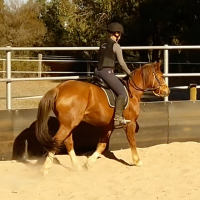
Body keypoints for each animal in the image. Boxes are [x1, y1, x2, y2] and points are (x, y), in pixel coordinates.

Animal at [35, 61, 170, 175]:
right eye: (161, 76)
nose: (167, 91)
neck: (132, 92)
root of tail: (58, 88)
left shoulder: (108, 126)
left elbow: (102, 145)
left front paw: (89, 163)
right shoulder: (130, 123)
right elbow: (132, 142)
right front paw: (137, 161)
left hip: (68, 124)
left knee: (68, 142)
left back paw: (76, 166)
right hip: (68, 125)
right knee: (57, 141)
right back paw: (45, 169)